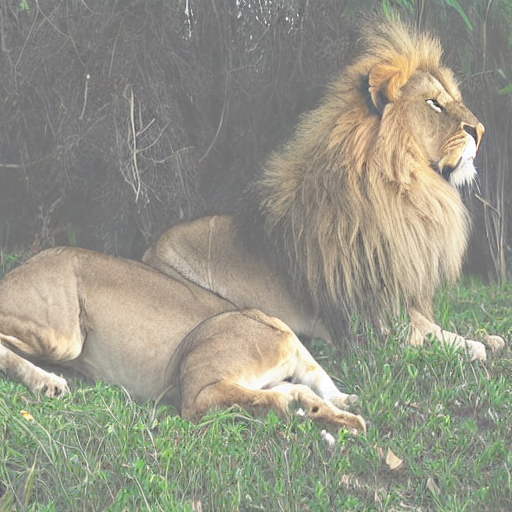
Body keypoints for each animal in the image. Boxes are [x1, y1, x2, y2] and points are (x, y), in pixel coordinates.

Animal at [143, 19, 504, 361]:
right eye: (433, 104)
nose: (481, 130)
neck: (407, 190)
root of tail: (149, 252)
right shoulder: (371, 325)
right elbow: (435, 335)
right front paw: (472, 346)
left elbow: (443, 324)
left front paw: (491, 337)